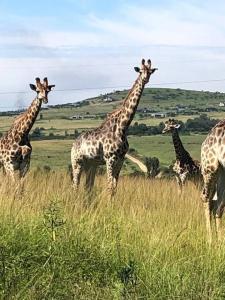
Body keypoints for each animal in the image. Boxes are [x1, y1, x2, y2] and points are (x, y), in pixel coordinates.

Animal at [71, 59, 157, 196]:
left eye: (150, 72)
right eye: (140, 71)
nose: (145, 79)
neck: (122, 127)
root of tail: (73, 144)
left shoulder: (120, 159)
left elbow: (115, 188)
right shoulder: (109, 158)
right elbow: (109, 187)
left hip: (91, 164)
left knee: (87, 186)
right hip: (77, 162)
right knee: (75, 185)